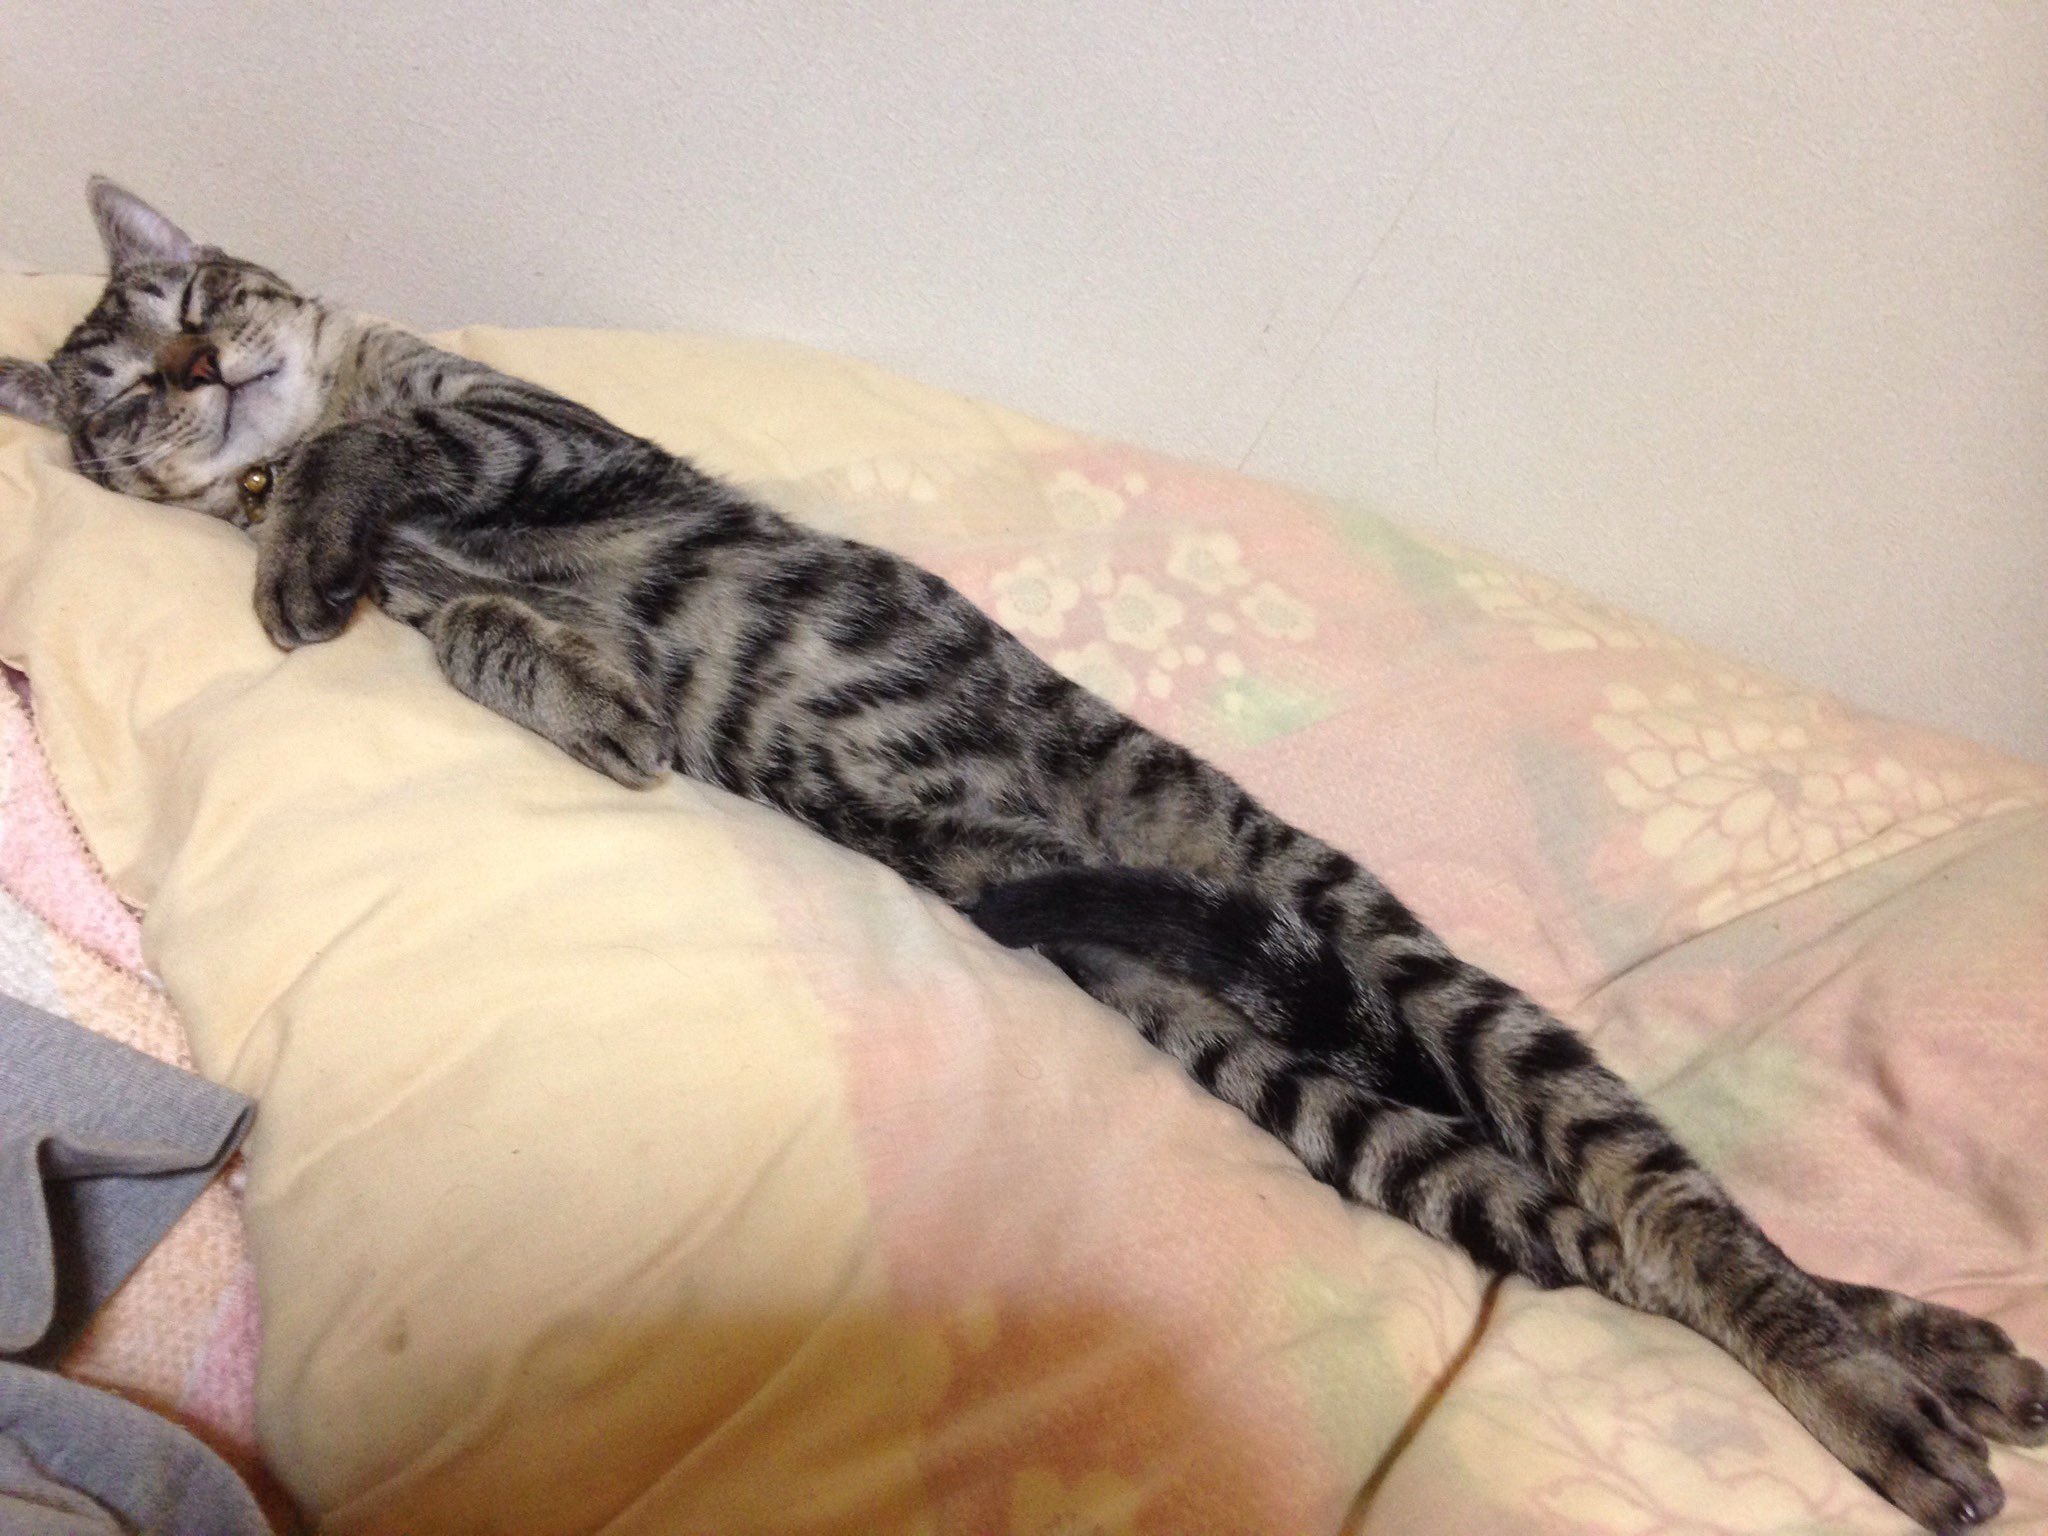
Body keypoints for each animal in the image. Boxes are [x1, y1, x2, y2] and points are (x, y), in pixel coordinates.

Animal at [2, 179, 2041, 1534]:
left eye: (193, 291)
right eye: (122, 384)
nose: (196, 359)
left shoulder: (525, 431)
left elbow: (387, 460)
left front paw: (309, 549)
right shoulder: (459, 577)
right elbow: (486, 640)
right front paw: (583, 699)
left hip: (1388, 959)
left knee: (1690, 1217)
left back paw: (1894, 1399)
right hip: (1316, 1098)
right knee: (1610, 1238)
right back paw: (1944, 1352)